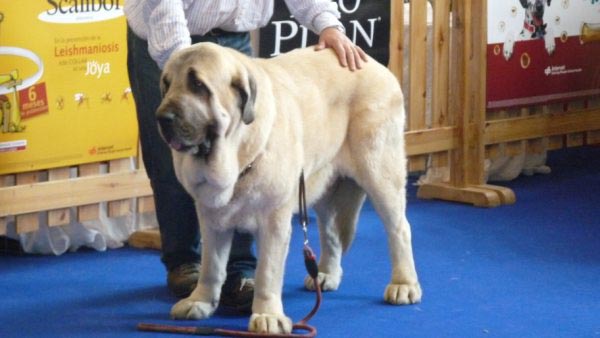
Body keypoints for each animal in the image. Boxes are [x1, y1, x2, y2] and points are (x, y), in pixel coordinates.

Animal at [159, 41, 422, 332]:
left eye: (198, 85)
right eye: (166, 85)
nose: (162, 117)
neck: (238, 154)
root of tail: (376, 65)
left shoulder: (273, 222)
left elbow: (266, 272)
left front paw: (267, 315)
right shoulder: (211, 218)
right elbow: (211, 267)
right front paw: (200, 301)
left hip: (380, 172)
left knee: (399, 229)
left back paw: (404, 284)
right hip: (323, 188)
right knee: (331, 233)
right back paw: (325, 274)